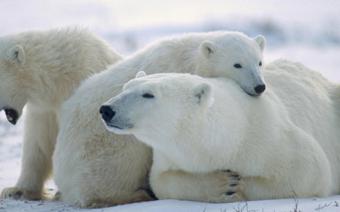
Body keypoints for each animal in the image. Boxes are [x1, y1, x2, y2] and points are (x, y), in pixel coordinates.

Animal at [52, 31, 266, 207]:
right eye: (237, 64)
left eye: (259, 62)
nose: (259, 86)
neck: (191, 57)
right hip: (101, 151)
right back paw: (137, 195)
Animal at [101, 60, 340, 203]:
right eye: (125, 87)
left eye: (148, 94)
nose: (106, 110)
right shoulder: (169, 155)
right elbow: (162, 181)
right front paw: (223, 185)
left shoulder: (270, 138)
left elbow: (310, 170)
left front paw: (238, 186)